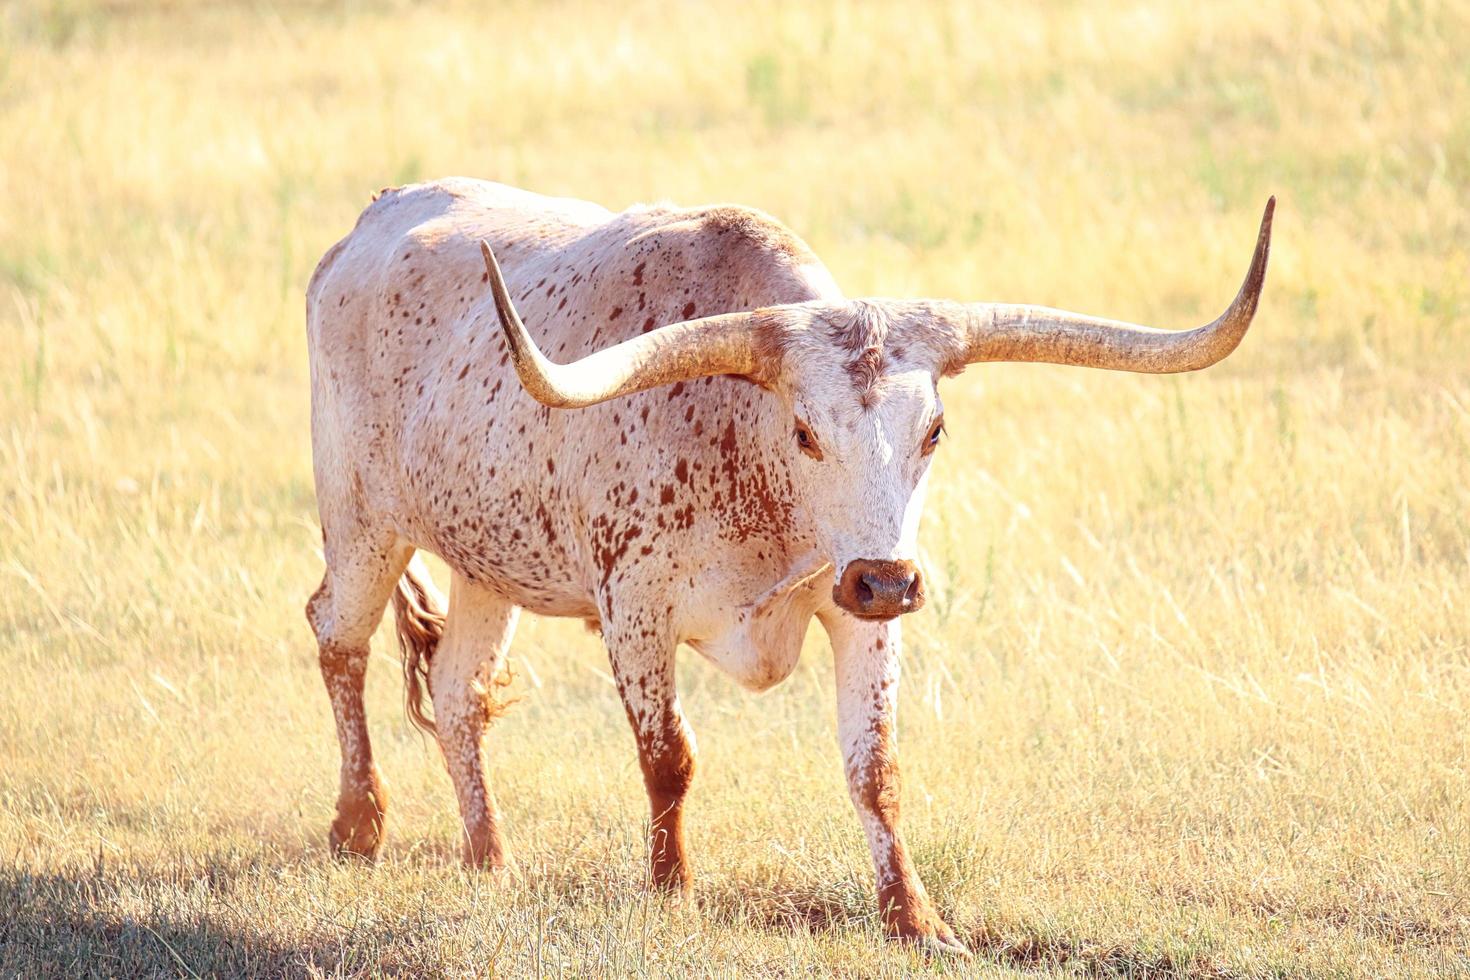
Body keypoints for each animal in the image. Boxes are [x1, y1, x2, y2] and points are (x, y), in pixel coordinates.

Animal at [304, 179, 1270, 952]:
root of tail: (368, 222)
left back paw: (491, 858)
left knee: (460, 692)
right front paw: (673, 895)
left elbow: (875, 769)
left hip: (490, 560)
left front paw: (916, 920)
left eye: (935, 429)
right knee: (336, 637)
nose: (888, 580)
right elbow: (669, 757)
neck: (745, 447)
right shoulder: (634, 611)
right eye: (806, 431)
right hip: (362, 525)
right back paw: (358, 825)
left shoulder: (859, 616)